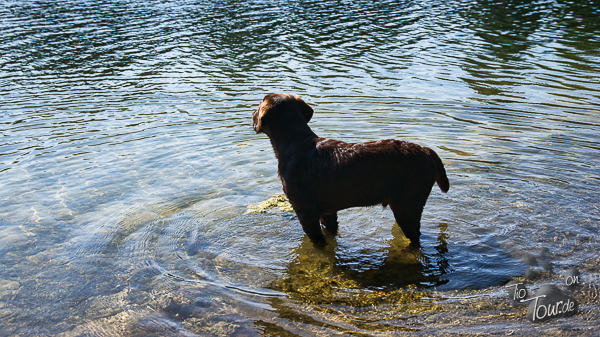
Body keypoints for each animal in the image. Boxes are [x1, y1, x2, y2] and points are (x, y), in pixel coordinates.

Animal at [251, 92, 448, 244]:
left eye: (259, 106)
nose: (251, 113)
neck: (296, 143)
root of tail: (427, 151)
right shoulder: (328, 212)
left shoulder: (305, 212)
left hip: (407, 205)